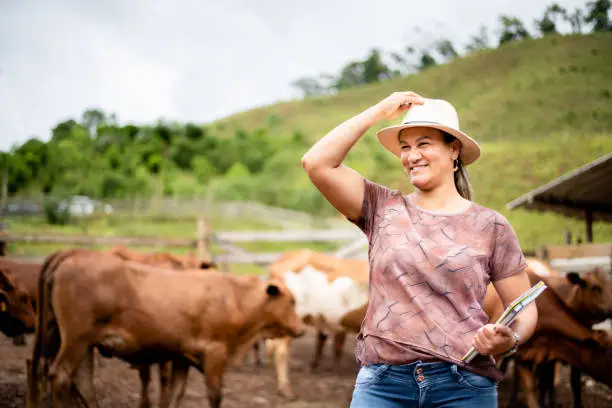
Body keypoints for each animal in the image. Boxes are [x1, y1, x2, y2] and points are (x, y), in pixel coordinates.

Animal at [28, 249, 304, 408]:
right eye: (291, 301)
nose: (301, 329)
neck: (235, 298)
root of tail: (71, 256)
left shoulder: (182, 357)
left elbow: (176, 394)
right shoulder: (214, 354)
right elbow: (214, 396)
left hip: (76, 341)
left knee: (81, 382)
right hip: (75, 339)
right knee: (60, 376)